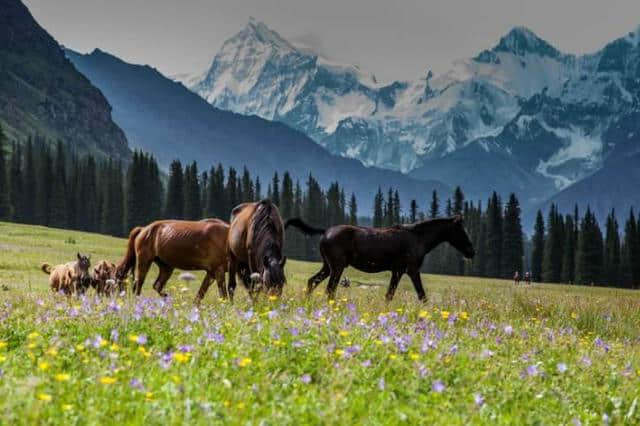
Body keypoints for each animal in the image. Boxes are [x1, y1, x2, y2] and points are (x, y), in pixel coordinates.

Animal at [284, 215, 476, 302]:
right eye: (461, 231)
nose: (471, 251)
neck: (422, 241)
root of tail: (324, 232)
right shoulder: (410, 269)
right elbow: (421, 295)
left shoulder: (397, 271)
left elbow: (389, 295)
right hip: (337, 266)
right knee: (329, 289)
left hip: (327, 265)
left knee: (312, 281)